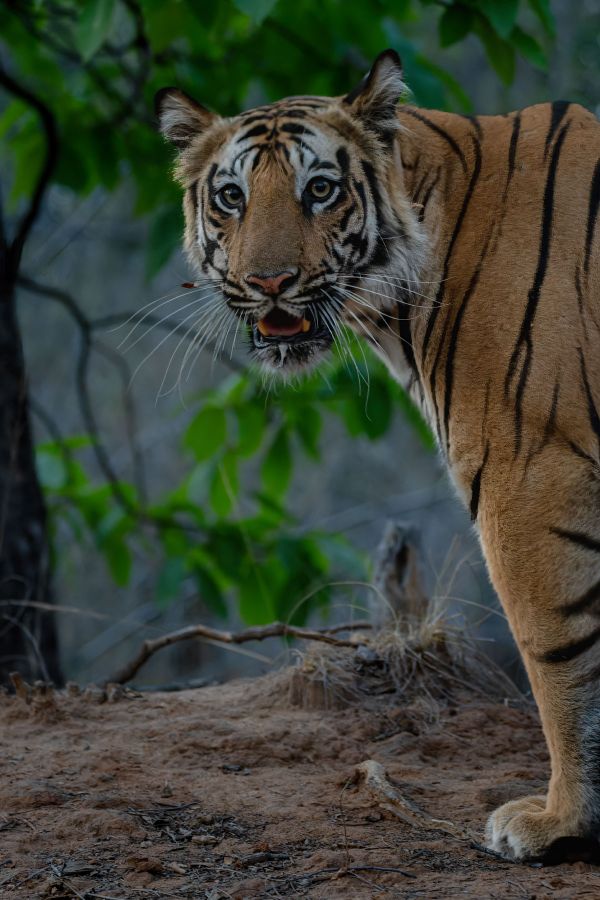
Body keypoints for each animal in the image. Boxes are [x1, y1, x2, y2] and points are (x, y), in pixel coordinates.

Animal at [156, 51, 600, 864]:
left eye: (320, 189)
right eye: (232, 197)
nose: (269, 282)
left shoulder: (530, 473)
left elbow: (557, 651)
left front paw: (562, 820)